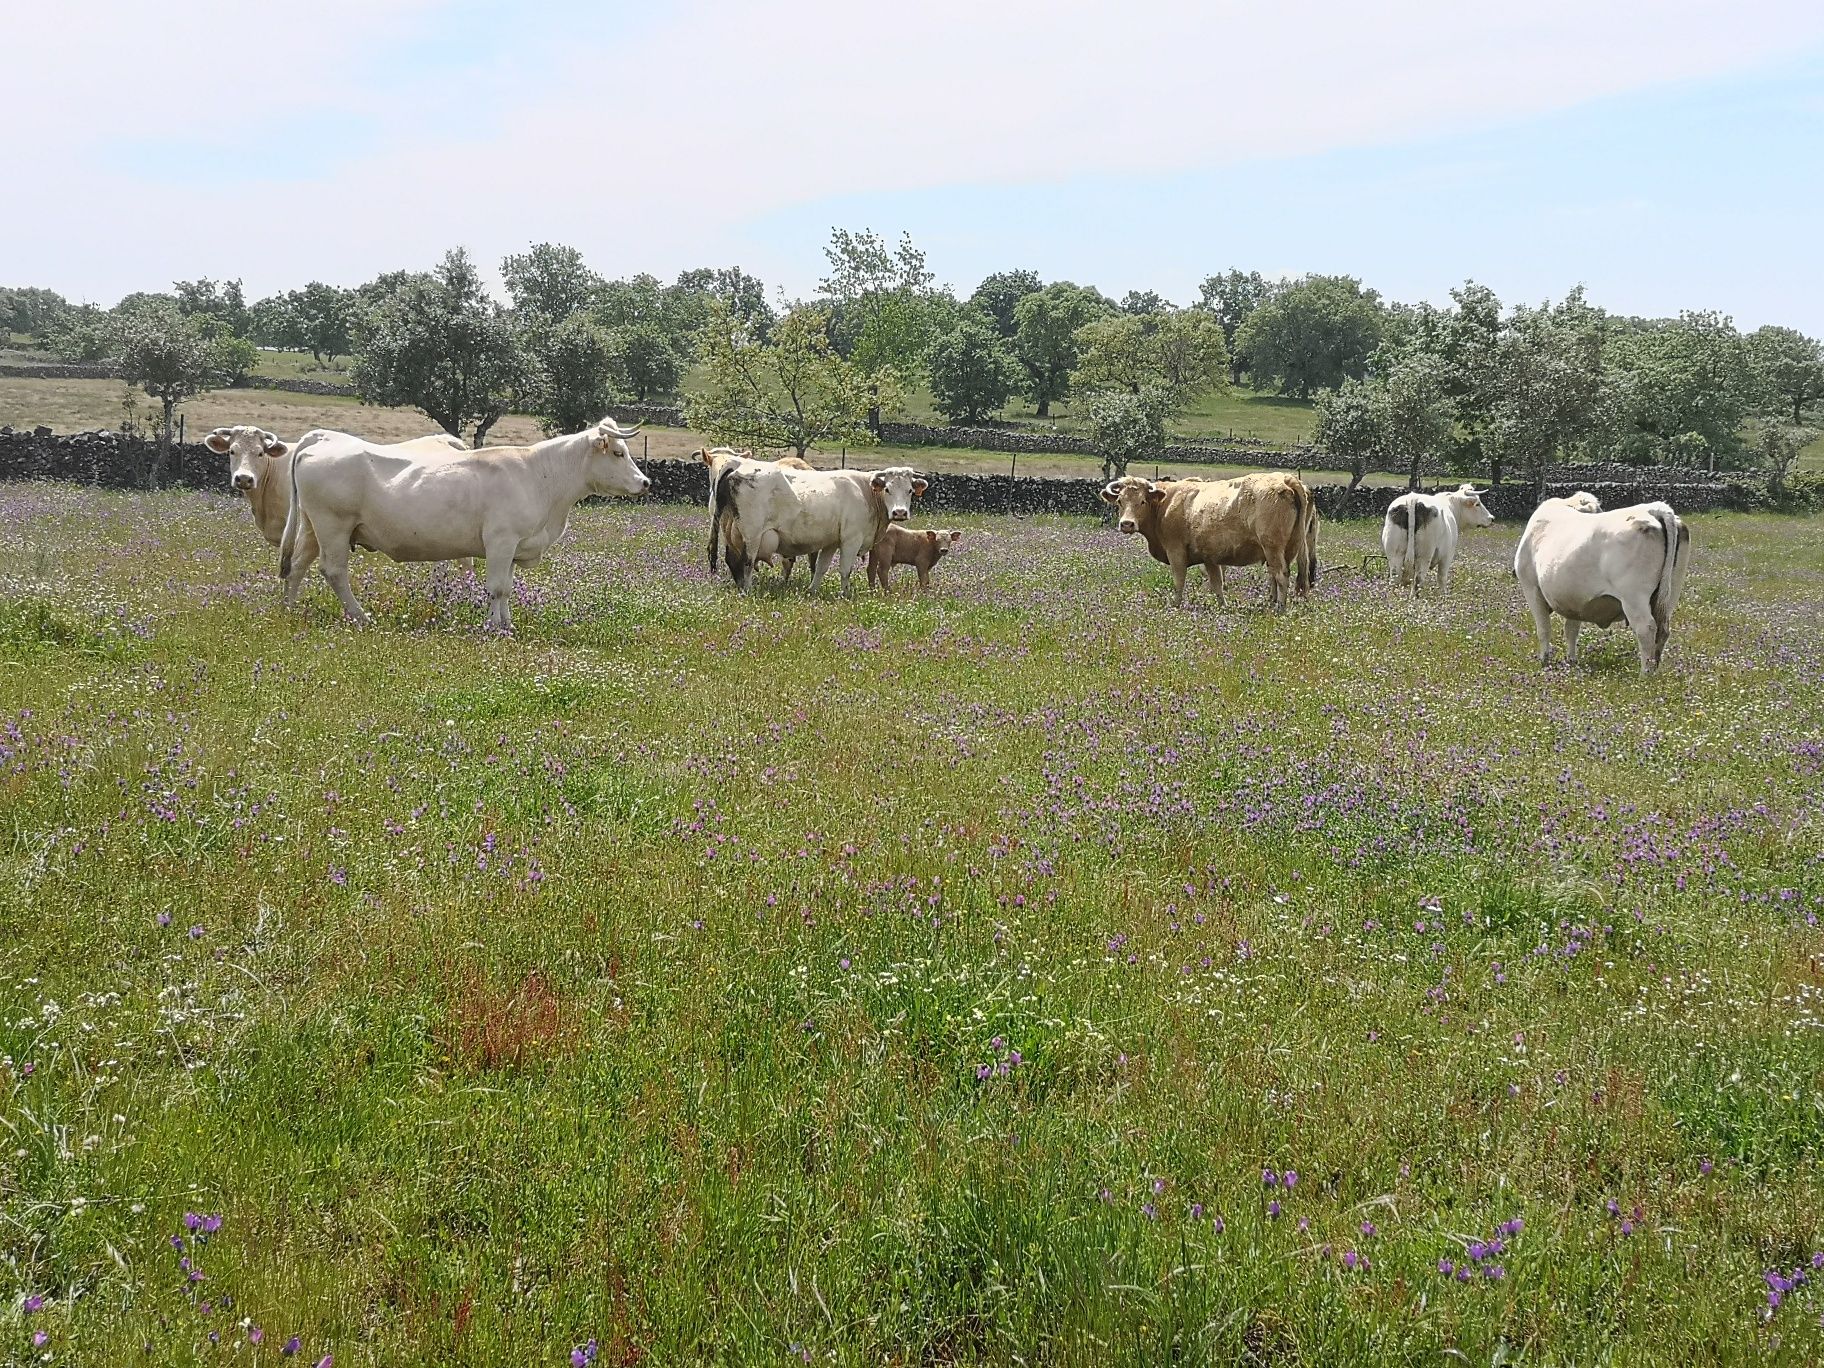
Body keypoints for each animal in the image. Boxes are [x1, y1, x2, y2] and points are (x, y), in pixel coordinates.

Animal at [277, 417, 649, 631]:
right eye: (618, 453)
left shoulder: (513, 547)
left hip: (313, 528)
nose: (645, 482)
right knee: (334, 571)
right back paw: (361, 617)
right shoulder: (501, 540)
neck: (539, 477)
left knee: (297, 565)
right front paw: (495, 627)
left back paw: (289, 609)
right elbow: (496, 587)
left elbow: (506, 588)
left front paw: (505, 623)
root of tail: (323, 439)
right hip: (334, 527)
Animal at [707, 466, 926, 594]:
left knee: (732, 560)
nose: (899, 512)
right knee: (747, 562)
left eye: (909, 490)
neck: (865, 491)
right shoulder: (851, 539)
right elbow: (845, 570)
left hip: (733, 534)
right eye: (887, 489)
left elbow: (821, 568)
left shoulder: (831, 542)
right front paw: (845, 595)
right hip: (751, 535)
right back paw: (747, 591)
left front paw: (812, 591)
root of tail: (735, 471)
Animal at [1094, 477, 1313, 616]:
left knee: (1281, 576)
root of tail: (1285, 478)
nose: (1127, 524)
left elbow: (1179, 581)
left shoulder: (1176, 552)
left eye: (1142, 501)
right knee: (1275, 577)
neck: (1166, 504)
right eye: (1120, 501)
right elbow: (1217, 585)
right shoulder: (1210, 558)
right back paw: (1271, 603)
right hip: (1283, 550)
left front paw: (1175, 606)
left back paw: (1279, 609)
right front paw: (1223, 608)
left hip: (1273, 548)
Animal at [1510, 492, 1692, 674]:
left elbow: (1543, 629)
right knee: (1663, 630)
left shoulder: (1532, 587)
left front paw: (1544, 661)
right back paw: (1654, 670)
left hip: (1634, 597)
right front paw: (1571, 661)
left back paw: (1645, 674)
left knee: (1646, 629)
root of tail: (1655, 508)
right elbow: (1571, 630)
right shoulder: (1574, 599)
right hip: (1669, 595)